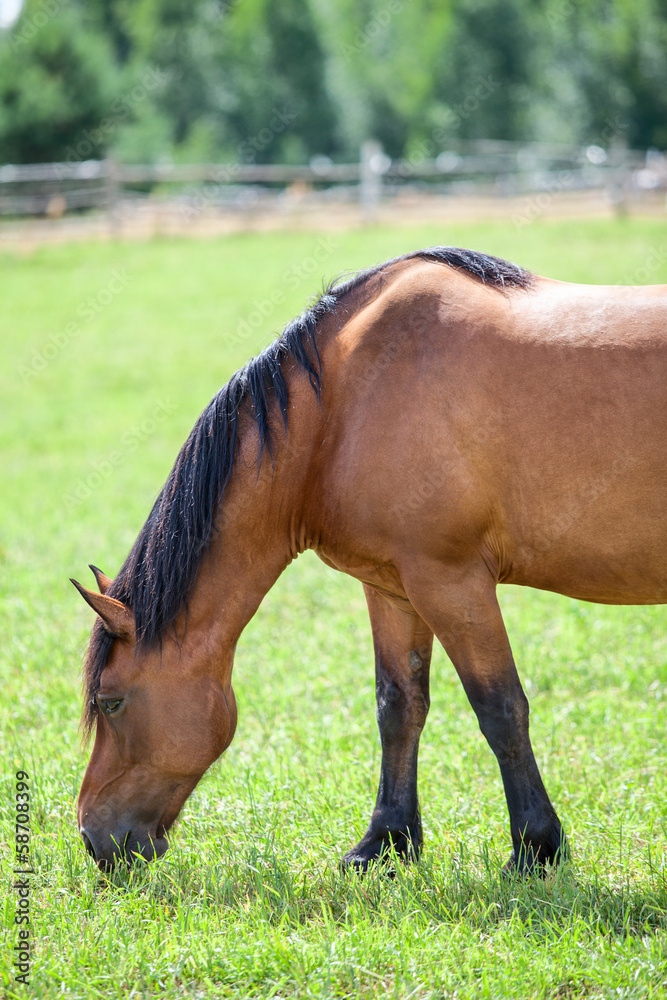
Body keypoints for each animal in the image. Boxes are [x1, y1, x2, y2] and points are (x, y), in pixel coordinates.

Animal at [72, 246, 667, 874]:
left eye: (110, 702)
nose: (92, 837)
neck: (346, 401)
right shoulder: (393, 588)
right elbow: (398, 706)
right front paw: (386, 840)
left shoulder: (451, 582)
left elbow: (500, 708)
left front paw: (536, 847)